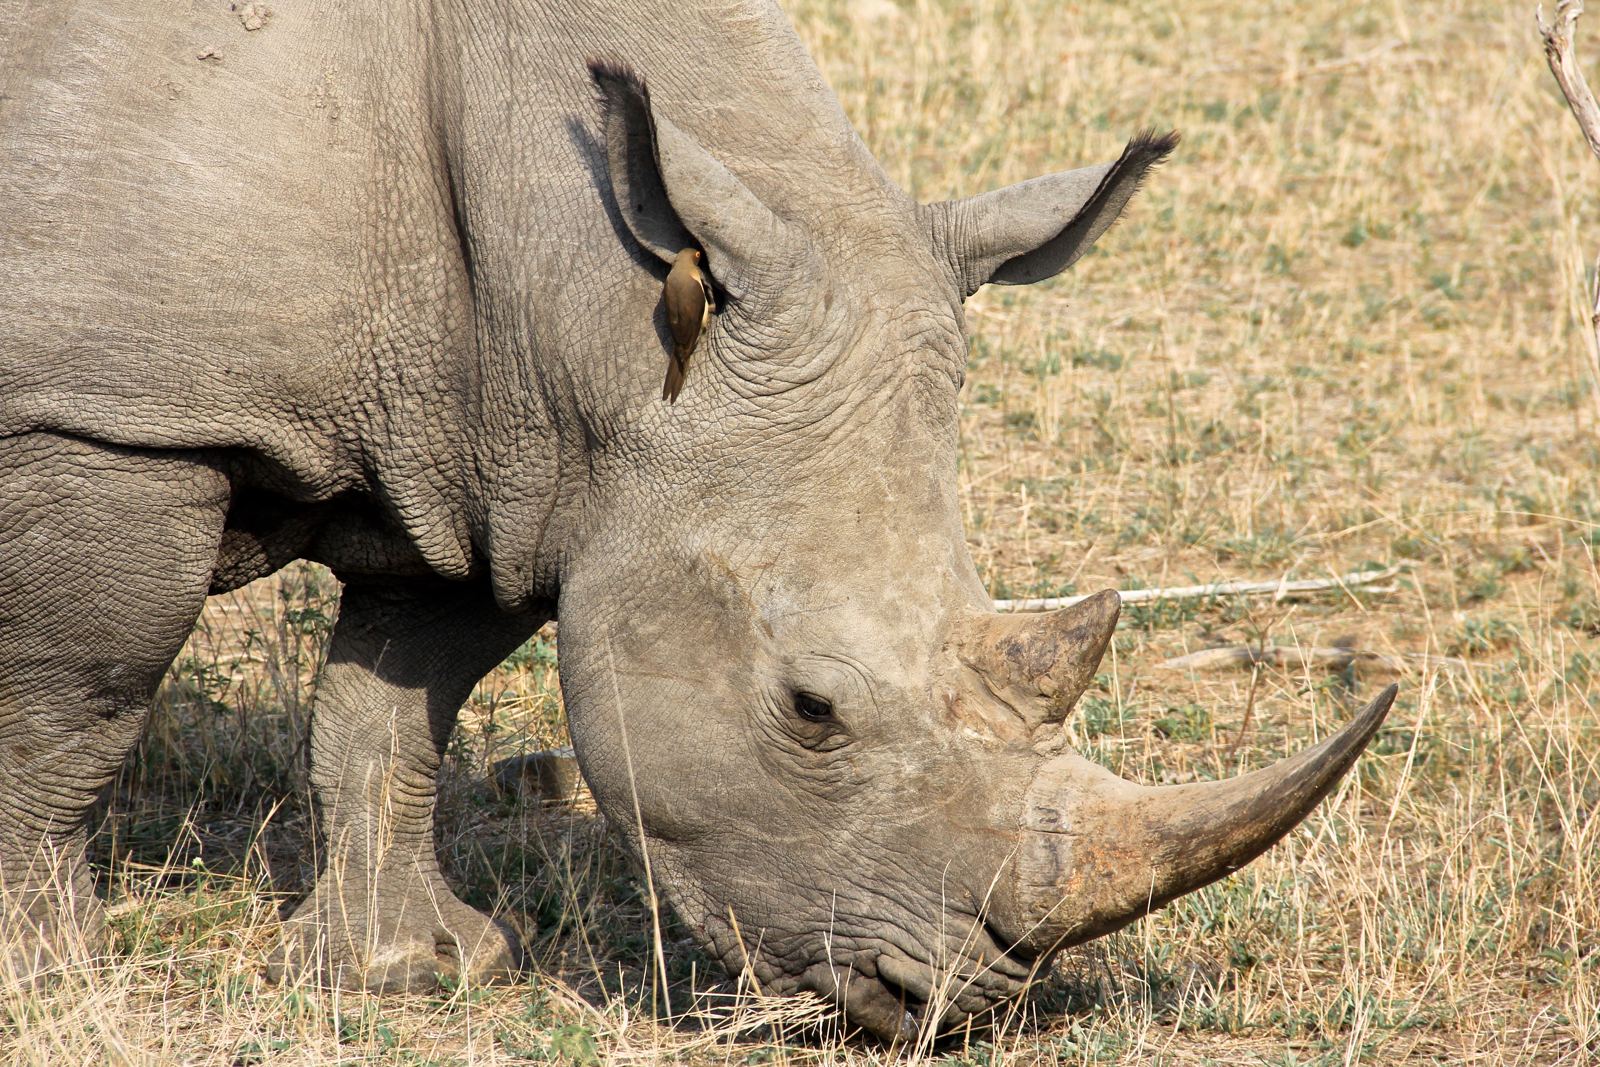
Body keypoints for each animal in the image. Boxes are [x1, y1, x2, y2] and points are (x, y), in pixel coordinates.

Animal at [0, 0, 1396, 1040]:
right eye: (811, 708)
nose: (953, 1003)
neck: (598, 298)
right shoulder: (108, 411)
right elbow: (75, 697)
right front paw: (44, 970)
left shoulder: (507, 450)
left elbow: (391, 705)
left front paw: (412, 968)